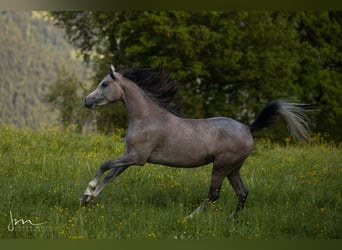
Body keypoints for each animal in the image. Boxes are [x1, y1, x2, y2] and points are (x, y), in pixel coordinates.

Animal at [81, 65, 312, 218]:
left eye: (104, 84)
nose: (86, 101)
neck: (146, 118)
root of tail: (248, 128)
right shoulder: (130, 158)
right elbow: (110, 176)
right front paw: (87, 199)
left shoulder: (137, 158)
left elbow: (104, 166)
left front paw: (87, 191)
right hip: (233, 168)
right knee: (242, 192)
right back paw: (233, 220)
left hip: (221, 166)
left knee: (214, 195)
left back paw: (189, 218)